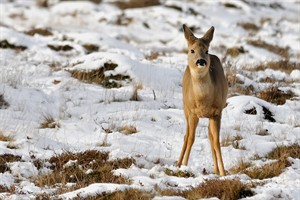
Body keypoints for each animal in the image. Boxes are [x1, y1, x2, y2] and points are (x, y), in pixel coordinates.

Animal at [177, 24, 229, 176]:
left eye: (206, 50)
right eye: (192, 50)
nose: (201, 61)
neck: (203, 100)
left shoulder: (217, 113)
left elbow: (216, 141)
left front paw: (223, 173)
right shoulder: (193, 113)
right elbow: (191, 138)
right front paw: (184, 166)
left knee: (210, 137)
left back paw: (216, 170)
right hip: (185, 109)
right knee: (186, 135)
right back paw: (177, 163)